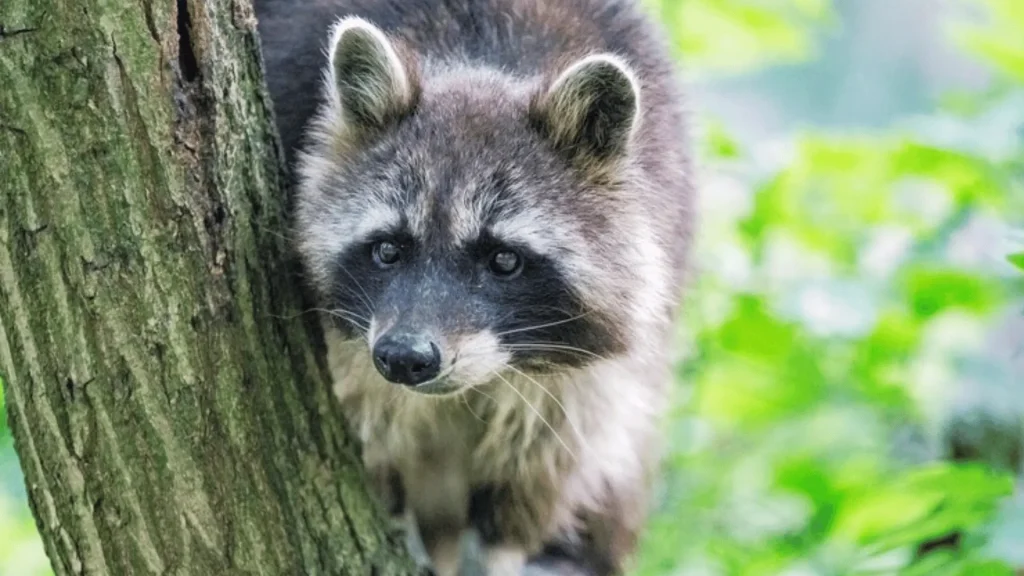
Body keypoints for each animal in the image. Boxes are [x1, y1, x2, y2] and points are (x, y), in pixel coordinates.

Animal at [253, 1, 695, 574]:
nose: (405, 358)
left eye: (503, 260)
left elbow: (541, 464)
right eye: (388, 250)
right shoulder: (350, 349)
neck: (484, 62)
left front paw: (507, 545)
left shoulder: (592, 368)